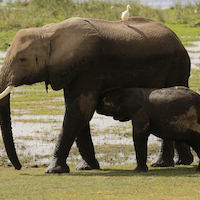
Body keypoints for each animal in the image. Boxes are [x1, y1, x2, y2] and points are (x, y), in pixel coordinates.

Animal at [0, 16, 194, 173]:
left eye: (22, 59)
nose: (18, 167)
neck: (48, 33)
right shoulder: (72, 69)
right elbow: (78, 111)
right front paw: (87, 167)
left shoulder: (90, 66)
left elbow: (81, 110)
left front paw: (53, 170)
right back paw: (169, 163)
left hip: (177, 65)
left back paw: (174, 163)